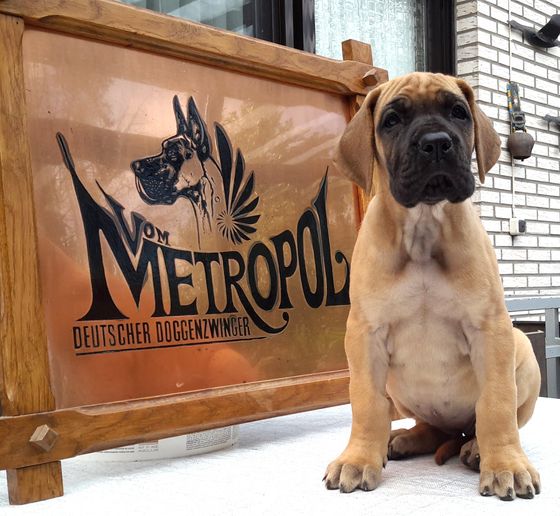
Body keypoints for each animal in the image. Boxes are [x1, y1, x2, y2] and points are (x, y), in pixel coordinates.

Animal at [324, 72, 541, 501]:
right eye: (391, 120)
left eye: (458, 112)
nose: (436, 143)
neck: (423, 225)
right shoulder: (365, 334)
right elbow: (366, 403)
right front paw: (358, 458)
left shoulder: (491, 329)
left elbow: (496, 403)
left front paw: (506, 465)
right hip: (399, 388)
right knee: (432, 427)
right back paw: (404, 439)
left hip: (522, 347)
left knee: (479, 425)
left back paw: (477, 450)